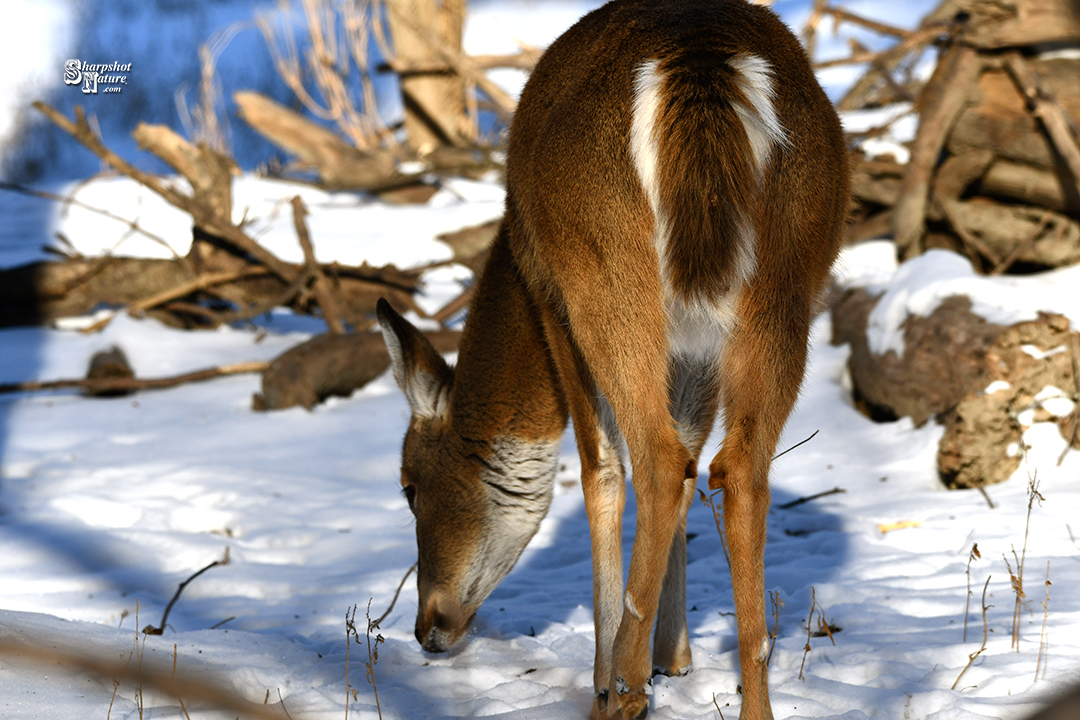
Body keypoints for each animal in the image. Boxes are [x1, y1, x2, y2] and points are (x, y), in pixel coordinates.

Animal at [375, 2, 846, 716]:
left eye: (408, 487)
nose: (428, 627)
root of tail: (700, 61)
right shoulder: (694, 343)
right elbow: (690, 444)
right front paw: (674, 658)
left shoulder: (550, 296)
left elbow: (600, 469)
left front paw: (619, 671)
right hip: (786, 284)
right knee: (735, 467)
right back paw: (744, 696)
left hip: (605, 276)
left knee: (654, 461)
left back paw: (619, 686)